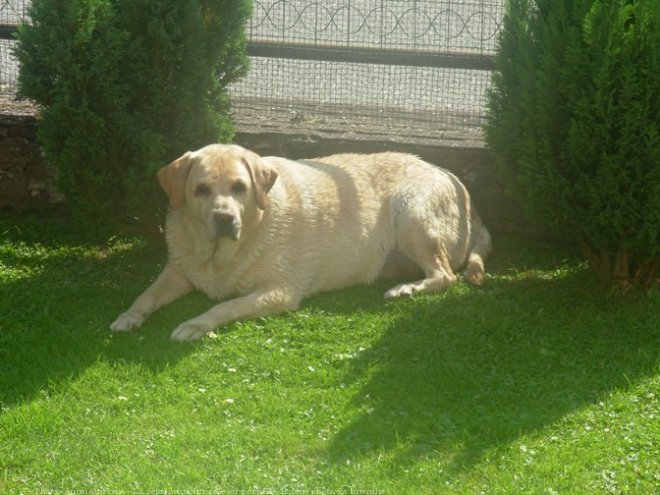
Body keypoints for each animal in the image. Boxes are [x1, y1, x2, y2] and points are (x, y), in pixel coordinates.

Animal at [109, 143, 490, 340]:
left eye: (239, 187)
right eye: (201, 190)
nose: (224, 218)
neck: (221, 253)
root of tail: (460, 184)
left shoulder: (279, 291)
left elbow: (223, 307)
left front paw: (193, 325)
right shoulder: (179, 270)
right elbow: (146, 295)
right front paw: (129, 315)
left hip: (411, 212)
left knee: (444, 274)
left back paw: (406, 289)